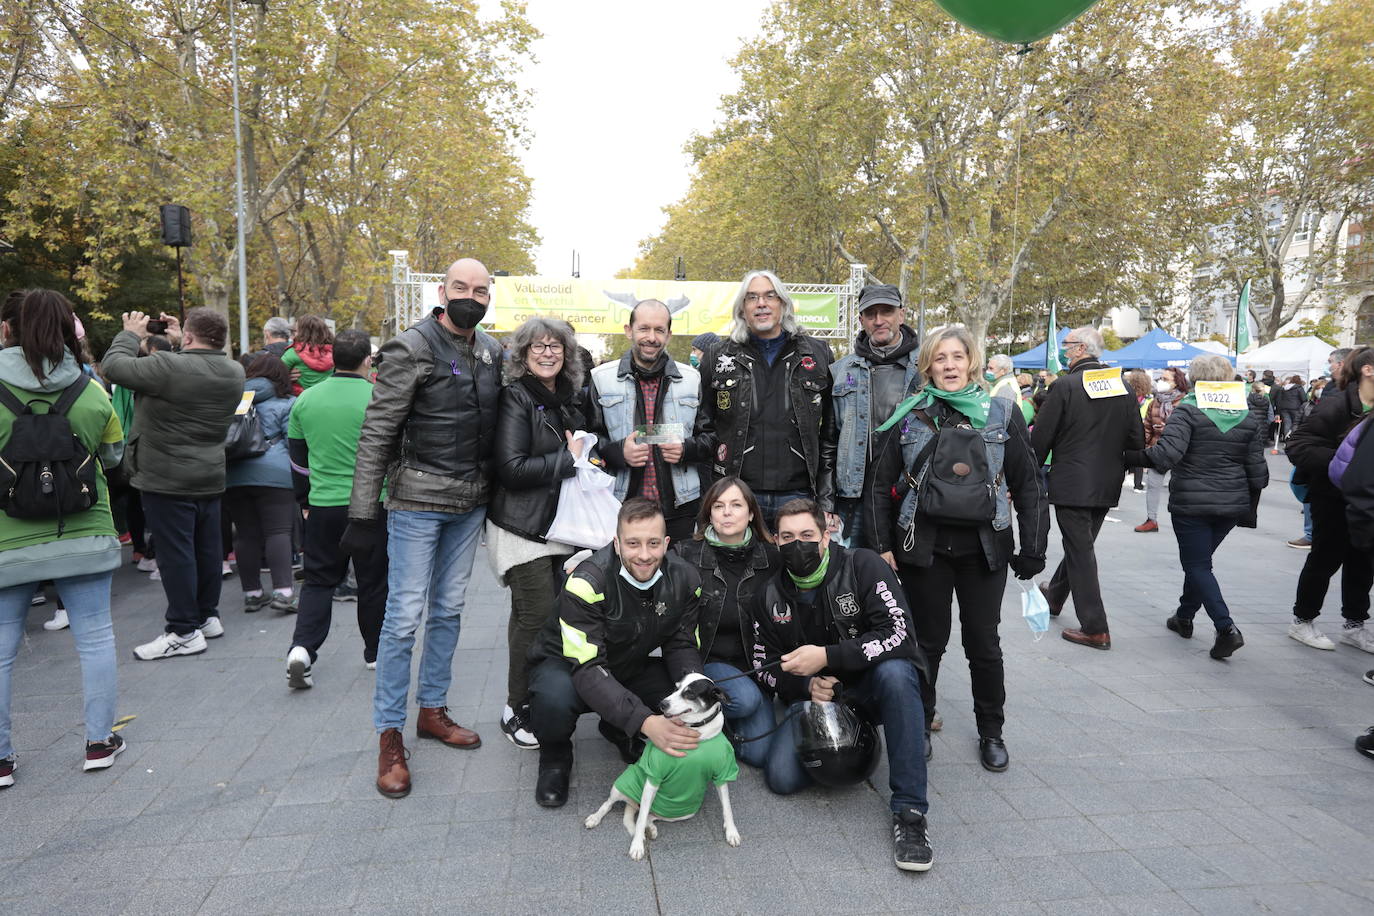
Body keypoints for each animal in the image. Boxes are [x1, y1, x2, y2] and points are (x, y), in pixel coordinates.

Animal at [588, 672, 747, 862]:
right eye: (675, 687)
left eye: (689, 693)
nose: (662, 704)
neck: (697, 732)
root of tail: (633, 803)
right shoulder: (653, 777)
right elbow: (640, 820)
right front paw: (637, 846)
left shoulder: (722, 773)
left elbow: (727, 807)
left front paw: (731, 832)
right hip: (620, 787)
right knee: (613, 805)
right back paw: (595, 818)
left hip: (681, 813)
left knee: (648, 816)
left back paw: (650, 829)